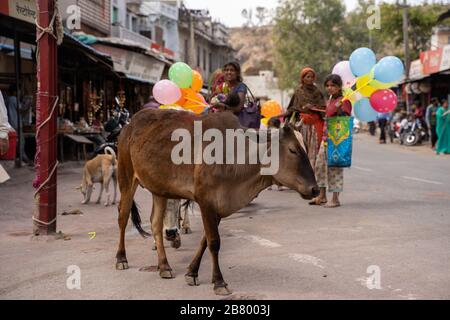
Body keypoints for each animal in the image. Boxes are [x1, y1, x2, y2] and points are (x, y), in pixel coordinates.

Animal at [116, 109, 320, 296]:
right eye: (293, 150)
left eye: (305, 147)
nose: (315, 190)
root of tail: (130, 124)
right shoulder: (205, 201)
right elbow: (214, 242)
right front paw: (219, 282)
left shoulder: (219, 205)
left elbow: (205, 241)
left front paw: (192, 272)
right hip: (126, 178)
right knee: (123, 217)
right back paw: (121, 258)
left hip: (158, 189)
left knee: (156, 224)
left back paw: (164, 266)